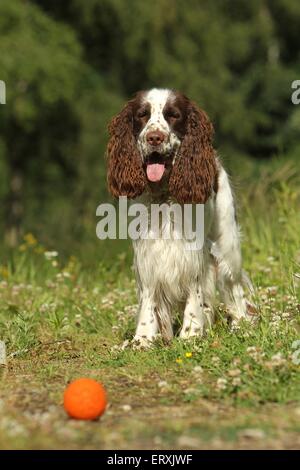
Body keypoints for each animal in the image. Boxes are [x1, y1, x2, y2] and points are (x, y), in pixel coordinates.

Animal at [106, 88, 254, 346]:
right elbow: (149, 295)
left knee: (233, 286)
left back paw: (240, 325)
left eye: (173, 115)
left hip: (227, 243)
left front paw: (191, 334)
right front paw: (143, 338)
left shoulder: (192, 252)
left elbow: (195, 290)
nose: (154, 137)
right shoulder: (147, 253)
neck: (163, 195)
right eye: (142, 115)